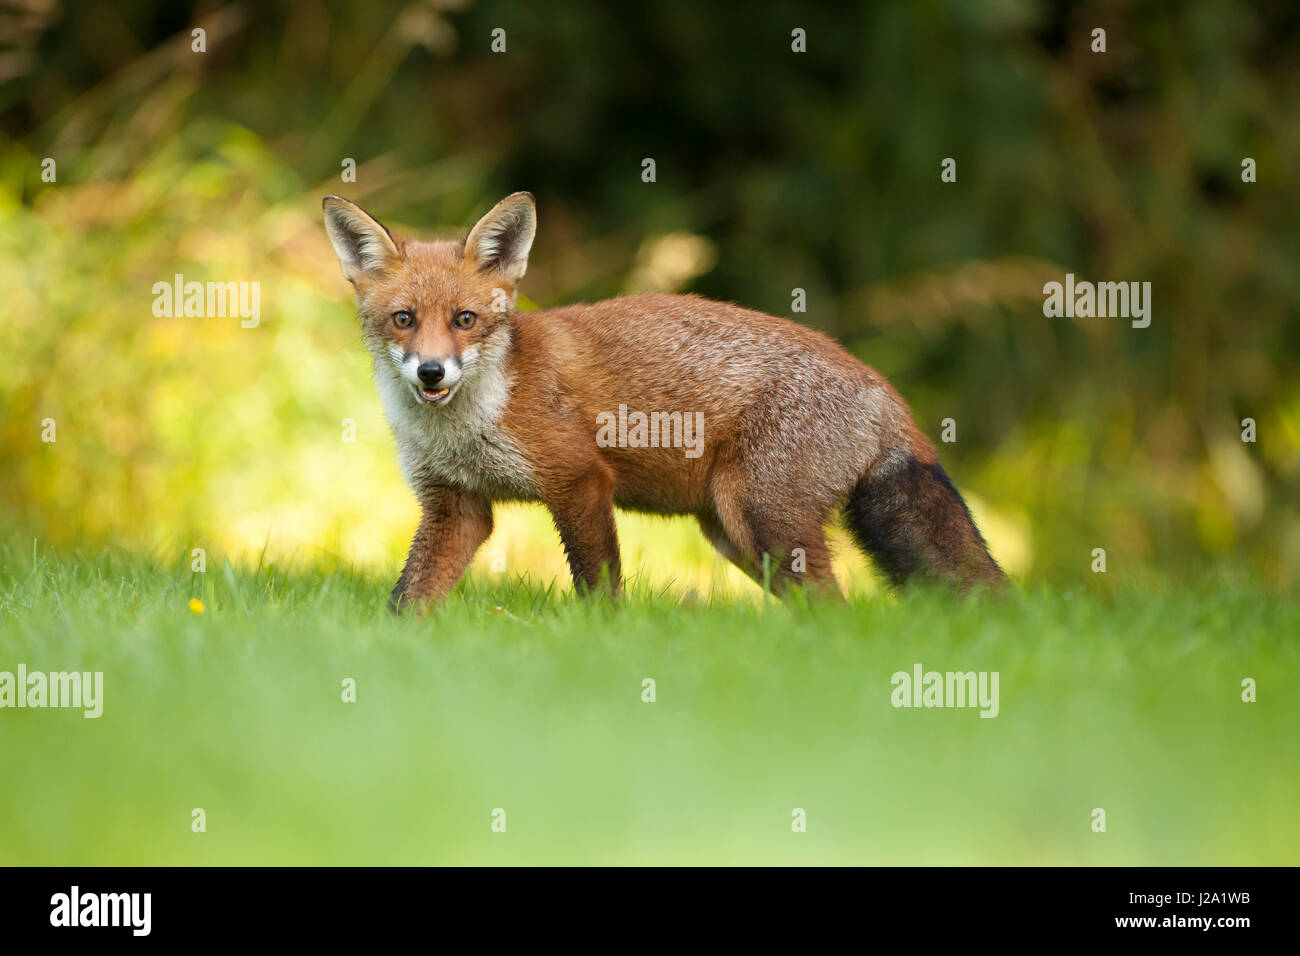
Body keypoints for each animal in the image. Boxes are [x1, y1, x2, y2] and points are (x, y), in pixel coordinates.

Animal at [325, 193, 1003, 608]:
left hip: (762, 519)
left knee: (834, 607)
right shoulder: (456, 507)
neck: (469, 425)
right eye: (404, 320)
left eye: (464, 320)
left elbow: (599, 588)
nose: (432, 373)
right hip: (735, 534)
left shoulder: (579, 479)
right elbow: (407, 599)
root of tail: (884, 391)